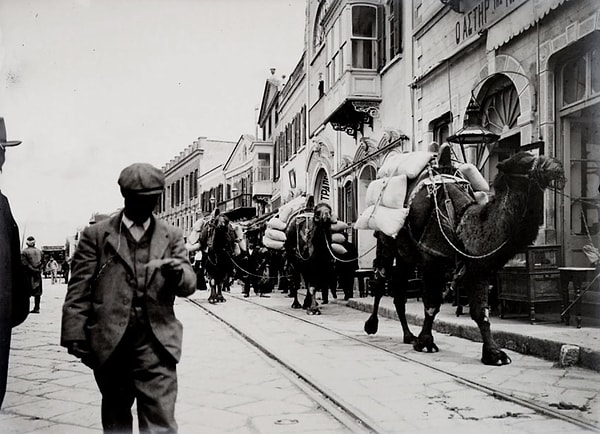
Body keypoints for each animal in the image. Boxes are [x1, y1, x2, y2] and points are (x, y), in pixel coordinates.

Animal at [364, 151, 564, 364]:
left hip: (406, 256)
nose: (556, 167)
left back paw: (408, 335)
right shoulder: (430, 262)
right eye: (525, 162)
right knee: (380, 280)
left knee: (399, 290)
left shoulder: (477, 269)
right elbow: (432, 305)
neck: (460, 224)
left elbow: (482, 313)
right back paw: (372, 326)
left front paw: (494, 354)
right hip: (386, 242)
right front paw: (426, 342)